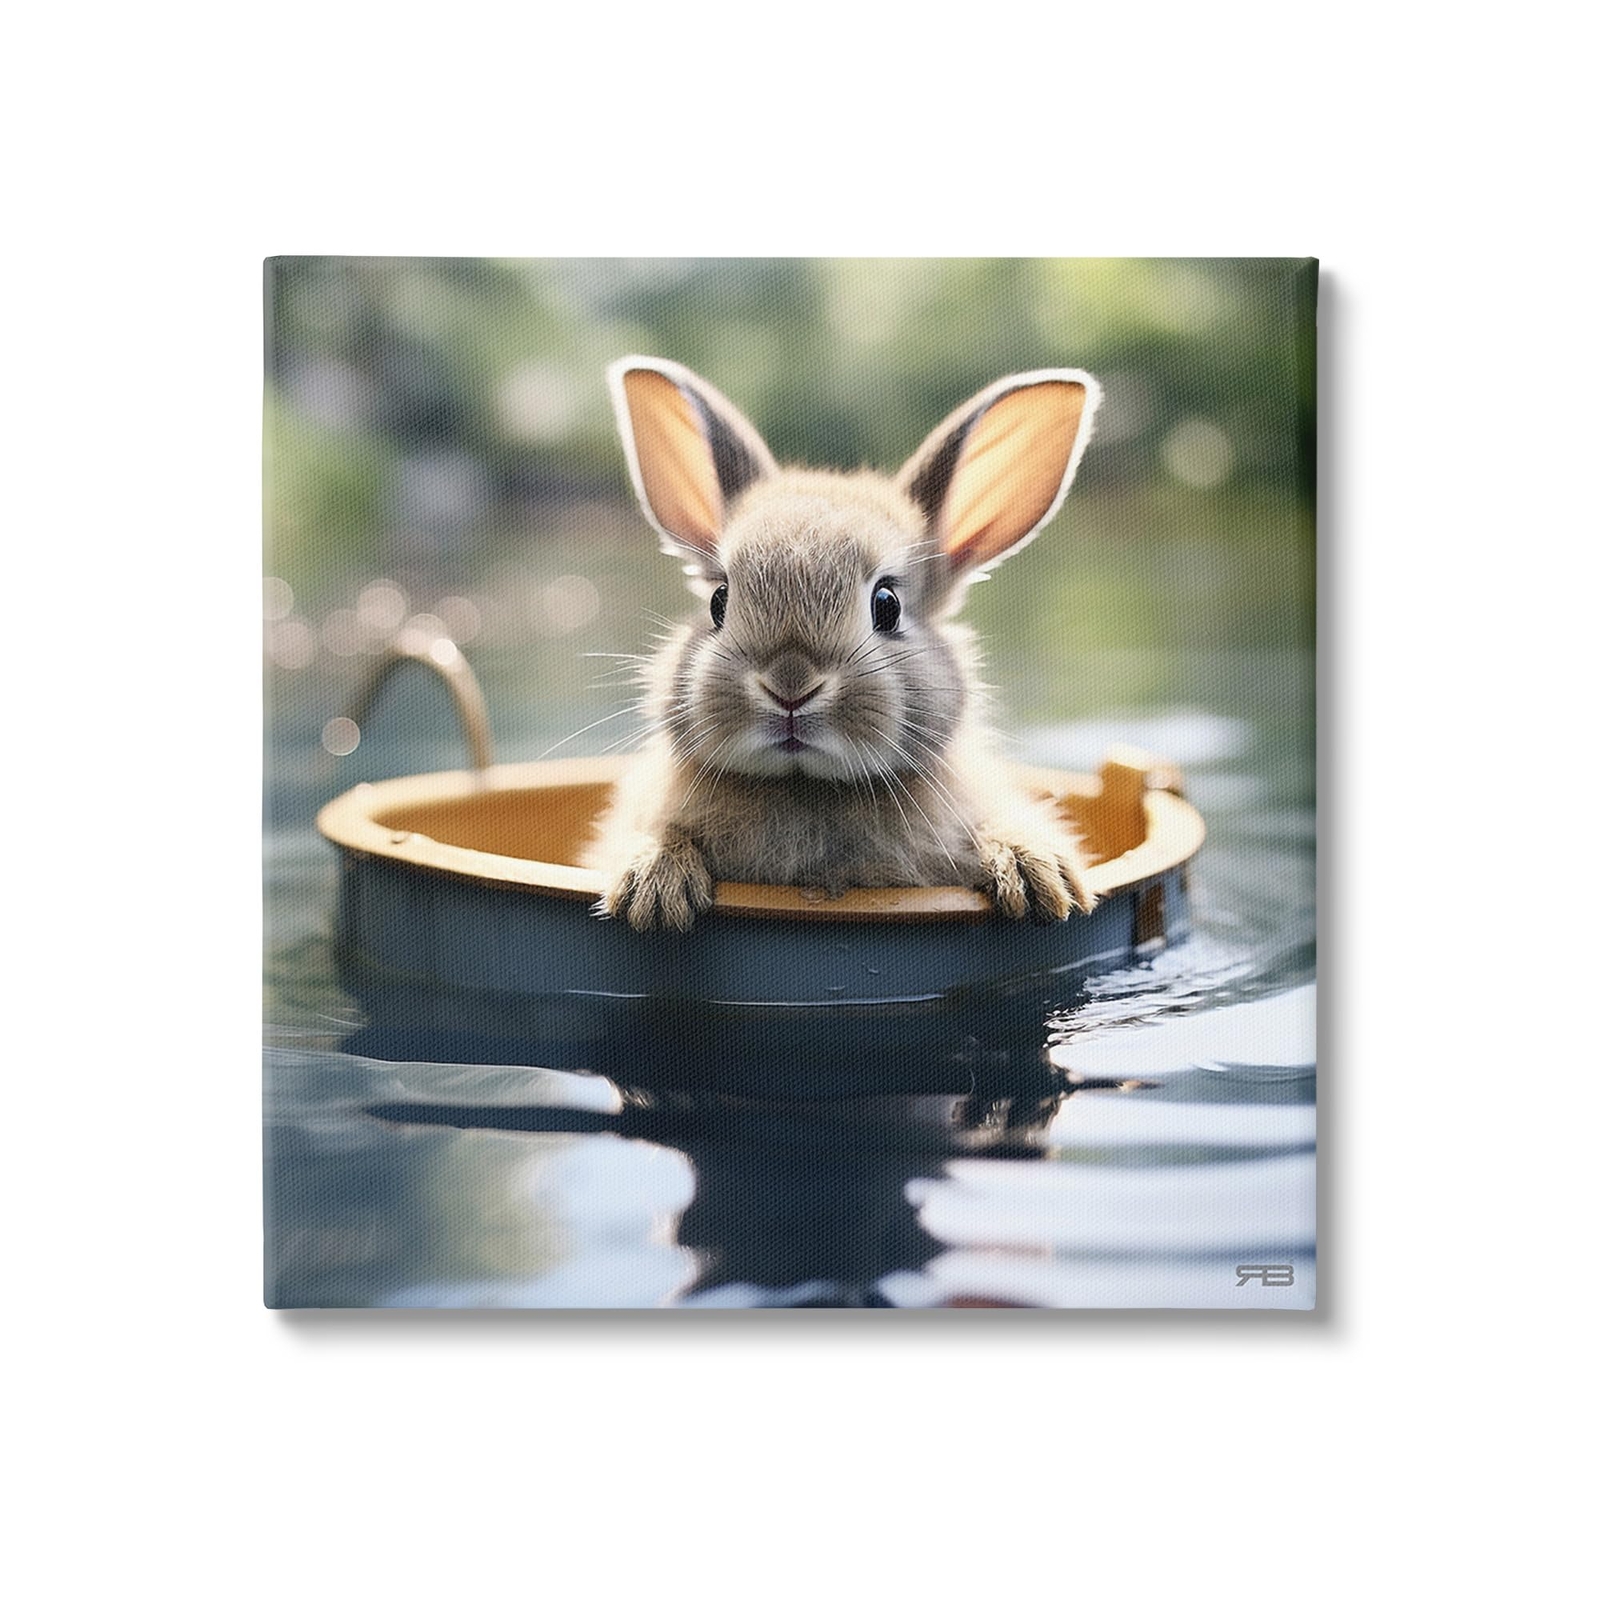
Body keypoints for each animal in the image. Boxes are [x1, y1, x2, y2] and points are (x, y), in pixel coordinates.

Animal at [582, 355, 1103, 933]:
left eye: (887, 605)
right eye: (719, 600)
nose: (789, 686)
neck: (805, 786)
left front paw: (1039, 878)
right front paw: (653, 890)